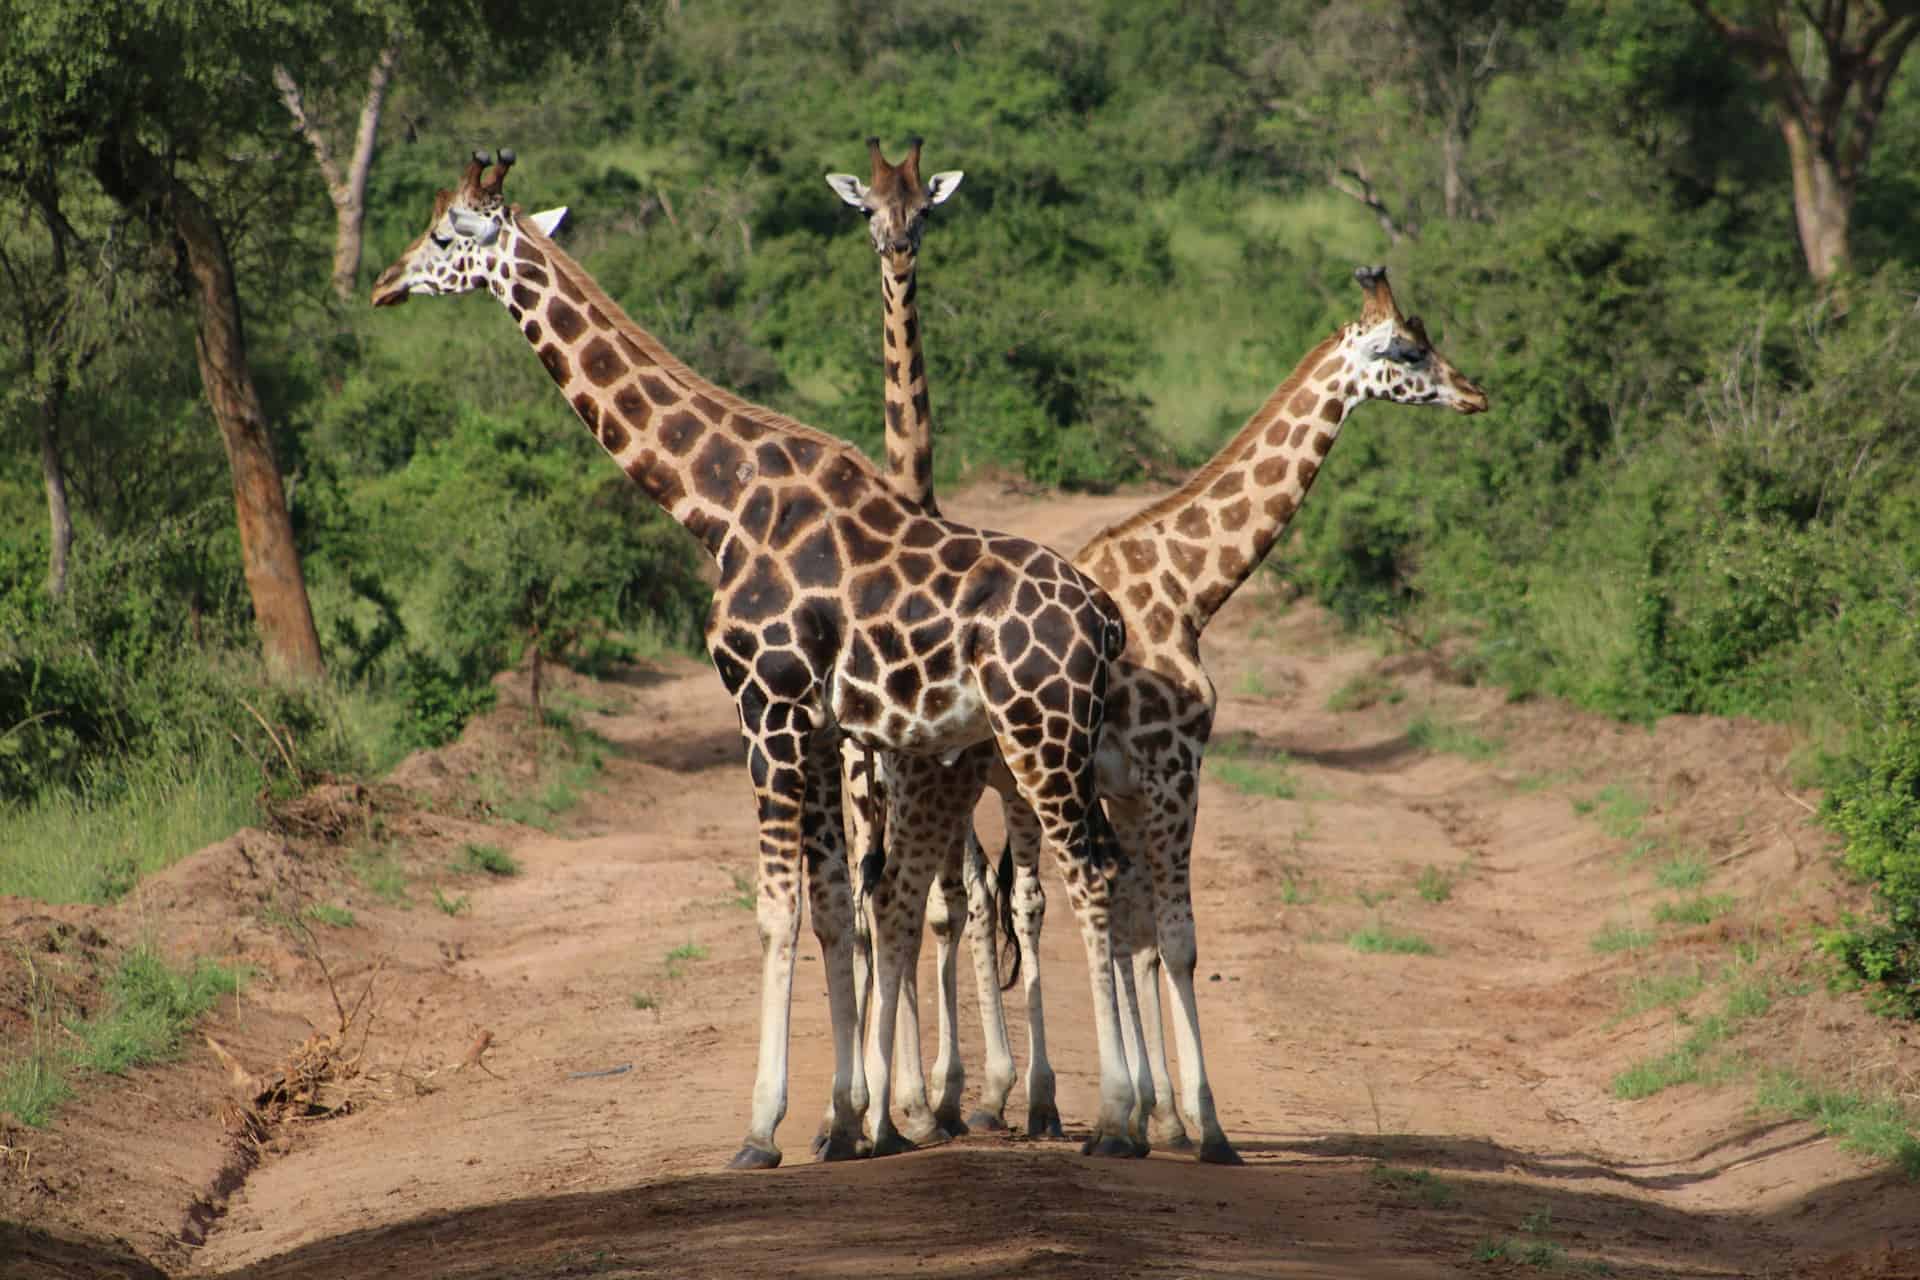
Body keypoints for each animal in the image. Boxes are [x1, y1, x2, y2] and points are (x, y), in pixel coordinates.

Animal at [370, 150, 1150, 1168]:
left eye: (443, 234)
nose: (383, 284)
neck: (717, 502)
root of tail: (1105, 619)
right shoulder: (818, 726)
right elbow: (832, 902)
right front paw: (848, 1120)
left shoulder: (765, 708)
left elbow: (779, 907)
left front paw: (765, 1127)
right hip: (1057, 745)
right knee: (1093, 872)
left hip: (1039, 738)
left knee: (1082, 877)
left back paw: (1119, 1119)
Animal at [873, 266, 1488, 1161]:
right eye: (1407, 349)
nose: (1477, 393)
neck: (1188, 589)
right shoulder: (1171, 773)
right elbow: (1174, 943)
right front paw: (1200, 1126)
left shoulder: (1128, 787)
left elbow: (1138, 939)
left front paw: (1151, 1117)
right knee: (903, 903)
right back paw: (915, 1106)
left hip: (976, 790)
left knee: (949, 902)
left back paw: (951, 1105)